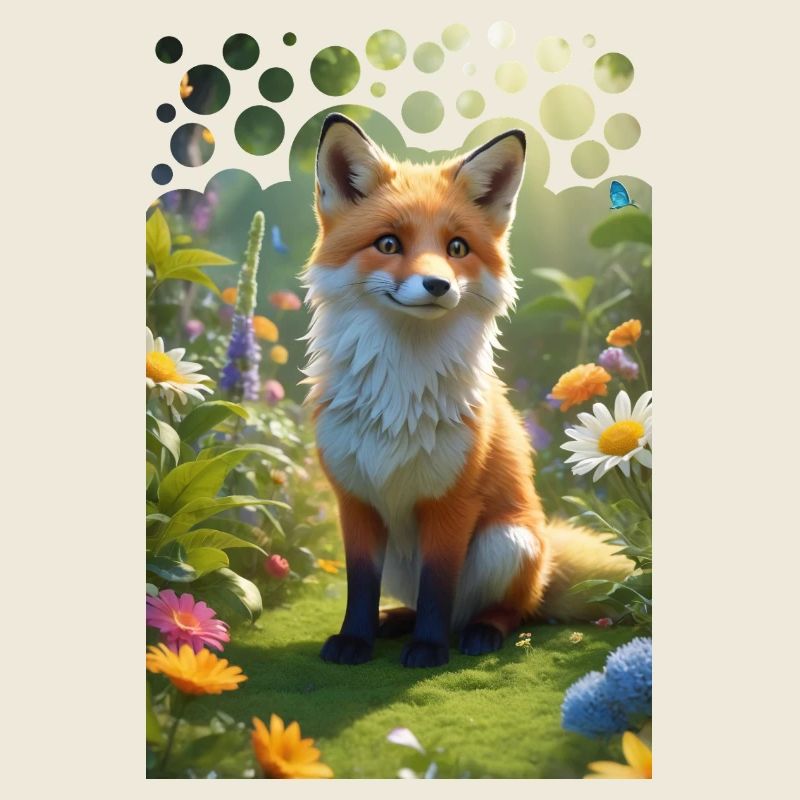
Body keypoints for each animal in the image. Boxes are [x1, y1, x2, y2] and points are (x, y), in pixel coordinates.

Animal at [301, 113, 632, 668]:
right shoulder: (356, 500)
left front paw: (429, 650)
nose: (438, 285)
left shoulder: (453, 503)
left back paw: (479, 632)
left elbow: (439, 585)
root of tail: (547, 556)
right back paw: (397, 621)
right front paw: (355, 640)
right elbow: (361, 586)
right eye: (388, 244)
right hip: (405, 557)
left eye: (456, 248)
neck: (400, 393)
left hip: (506, 541)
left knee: (507, 610)